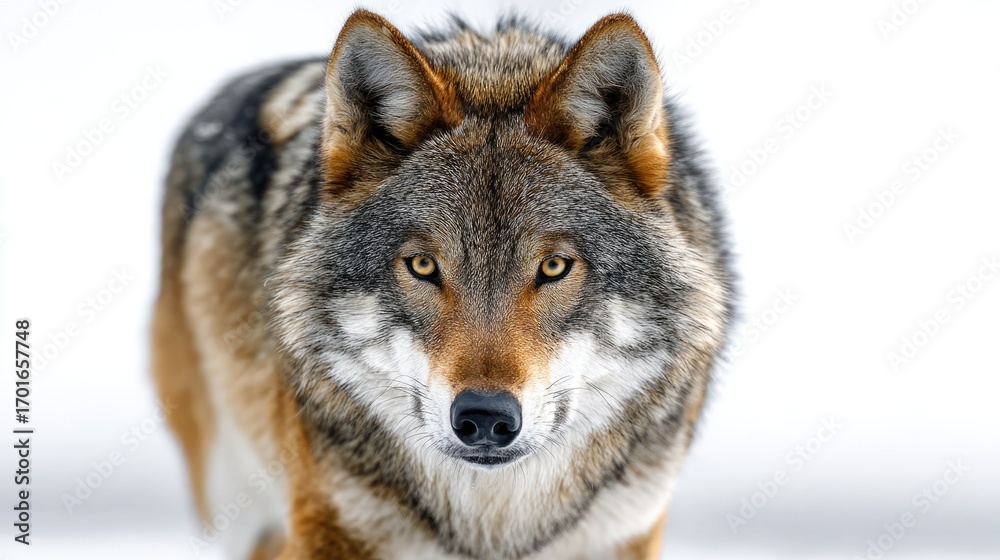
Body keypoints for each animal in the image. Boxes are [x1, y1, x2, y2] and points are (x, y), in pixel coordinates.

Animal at [152, 9, 733, 560]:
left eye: (553, 267)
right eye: (423, 266)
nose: (485, 418)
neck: (492, 525)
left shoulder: (627, 529)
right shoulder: (331, 525)